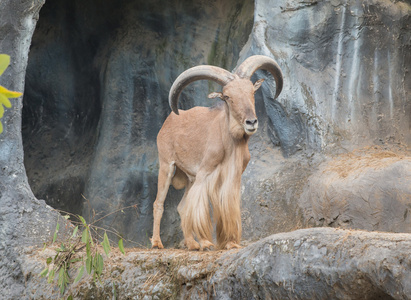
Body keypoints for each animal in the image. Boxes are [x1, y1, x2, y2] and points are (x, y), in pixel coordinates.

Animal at [151, 54, 284, 251]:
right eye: (227, 97)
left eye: (252, 92)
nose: (251, 122)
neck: (229, 142)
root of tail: (170, 120)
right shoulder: (205, 173)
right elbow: (199, 206)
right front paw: (206, 242)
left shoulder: (232, 178)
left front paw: (230, 242)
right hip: (167, 165)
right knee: (159, 203)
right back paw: (157, 243)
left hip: (189, 177)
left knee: (182, 207)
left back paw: (191, 244)